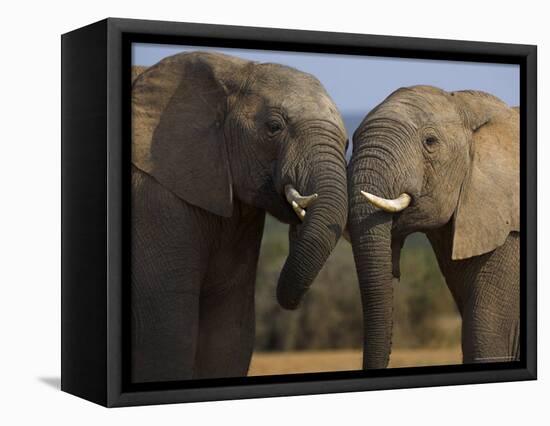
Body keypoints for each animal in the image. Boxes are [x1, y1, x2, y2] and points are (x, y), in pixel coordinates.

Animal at [131, 51, 348, 382]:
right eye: (274, 127)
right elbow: (168, 335)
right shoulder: (154, 199)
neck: (235, 69)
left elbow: (229, 333)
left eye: (347, 142)